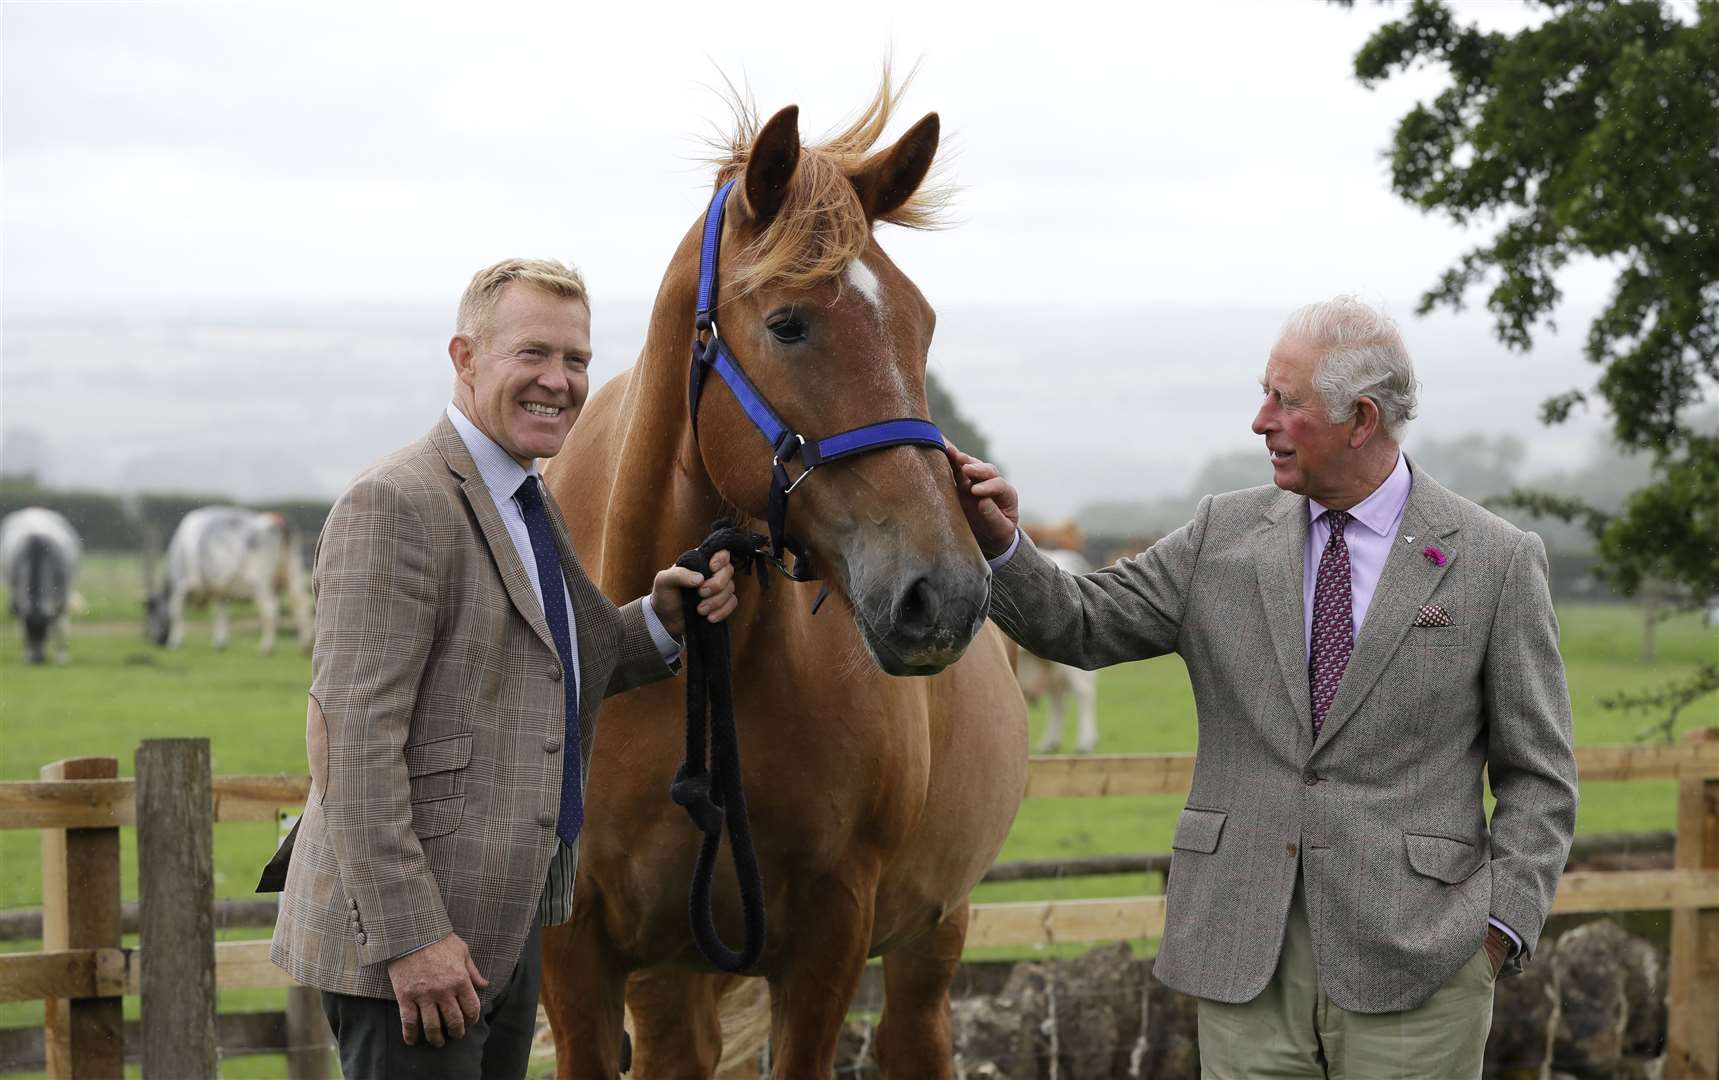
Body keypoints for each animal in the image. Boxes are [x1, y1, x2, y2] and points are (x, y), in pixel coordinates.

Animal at [0, 509, 82, 667]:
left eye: (46, 635)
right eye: (29, 635)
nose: (37, 659)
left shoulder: (63, 591)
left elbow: (60, 623)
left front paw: (61, 656)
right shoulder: (15, 592)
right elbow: (20, 622)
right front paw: (25, 654)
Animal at [146, 509, 312, 653]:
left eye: (151, 612)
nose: (156, 641)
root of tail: (276, 520)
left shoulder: (180, 586)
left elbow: (176, 613)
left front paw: (175, 642)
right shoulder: (220, 591)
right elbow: (220, 613)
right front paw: (220, 642)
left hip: (261, 583)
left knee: (270, 610)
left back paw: (266, 647)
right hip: (293, 574)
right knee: (301, 605)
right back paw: (304, 646)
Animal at [539, 73, 1017, 1073]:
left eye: (921, 325)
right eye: (787, 324)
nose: (943, 594)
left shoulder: (829, 934)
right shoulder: (576, 951)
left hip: (929, 937)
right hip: (673, 968)